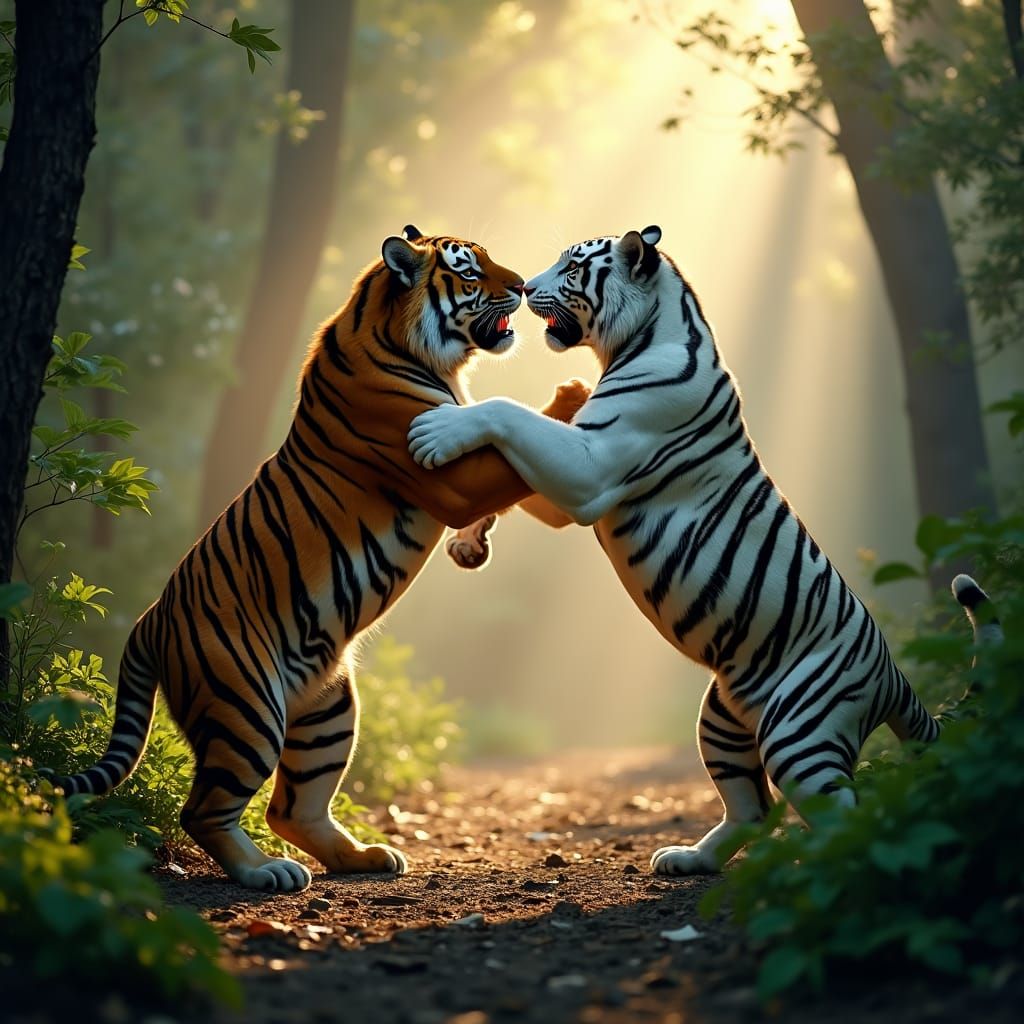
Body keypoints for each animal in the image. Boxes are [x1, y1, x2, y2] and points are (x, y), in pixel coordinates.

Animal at [49, 226, 589, 892]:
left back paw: (365, 858)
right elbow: (510, 443)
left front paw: (471, 546)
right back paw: (264, 873)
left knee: (291, 808)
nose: (520, 287)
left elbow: (519, 470)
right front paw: (571, 393)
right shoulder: (448, 474)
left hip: (328, 708)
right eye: (469, 272)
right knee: (203, 809)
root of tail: (149, 621)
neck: (430, 354)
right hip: (247, 709)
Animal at [409, 225, 1002, 875]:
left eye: (571, 268)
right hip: (721, 719)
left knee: (853, 816)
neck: (643, 337)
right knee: (753, 810)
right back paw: (689, 859)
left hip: (799, 733)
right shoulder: (574, 479)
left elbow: (506, 414)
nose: (523, 288)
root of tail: (893, 674)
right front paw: (469, 540)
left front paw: (439, 431)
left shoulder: (592, 468)